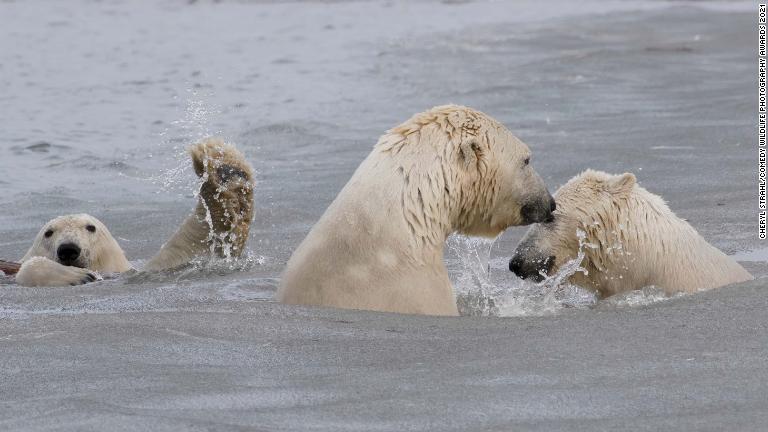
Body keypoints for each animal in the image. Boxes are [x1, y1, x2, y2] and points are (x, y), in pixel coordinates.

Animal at [12, 138, 254, 286]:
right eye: (48, 233)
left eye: (90, 227)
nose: (68, 250)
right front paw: (77, 276)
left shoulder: (135, 272)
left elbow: (192, 247)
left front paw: (225, 170)